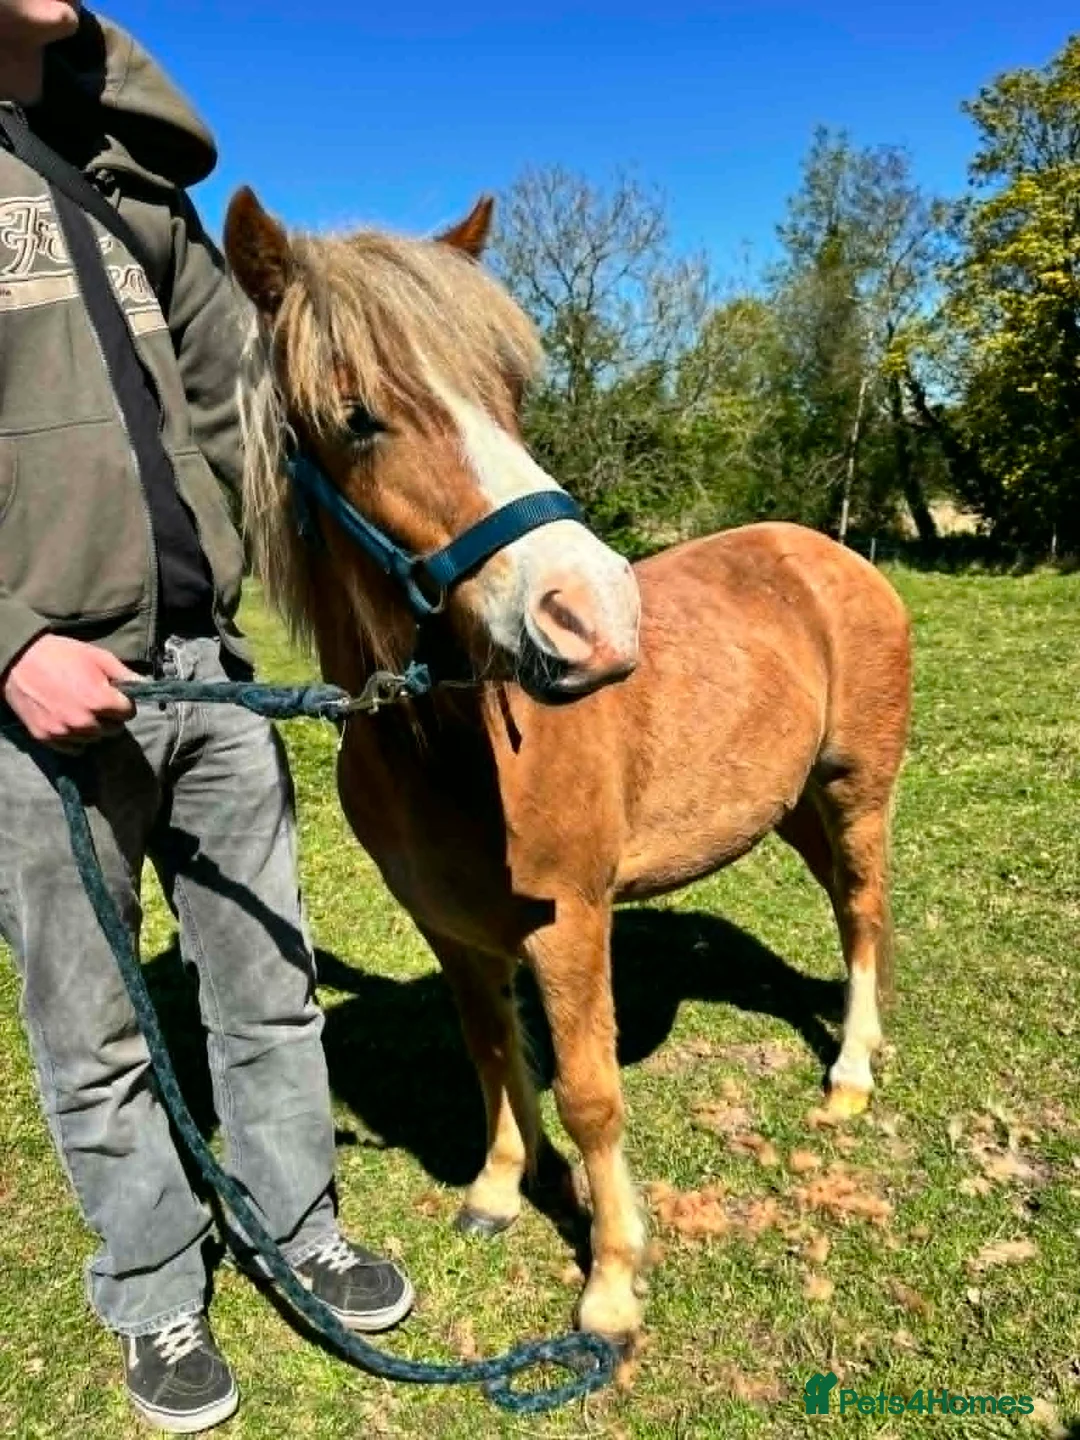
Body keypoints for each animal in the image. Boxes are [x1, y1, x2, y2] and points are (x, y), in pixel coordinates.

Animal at [223, 189, 912, 1344]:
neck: (447, 747)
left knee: (863, 911)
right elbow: (494, 1049)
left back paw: (851, 1072)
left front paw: (613, 1279)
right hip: (790, 805)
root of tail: (832, 556)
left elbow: (590, 1092)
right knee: (838, 902)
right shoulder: (454, 931)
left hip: (856, 788)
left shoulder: (570, 923)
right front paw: (504, 1187)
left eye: (510, 393)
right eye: (358, 416)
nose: (593, 616)